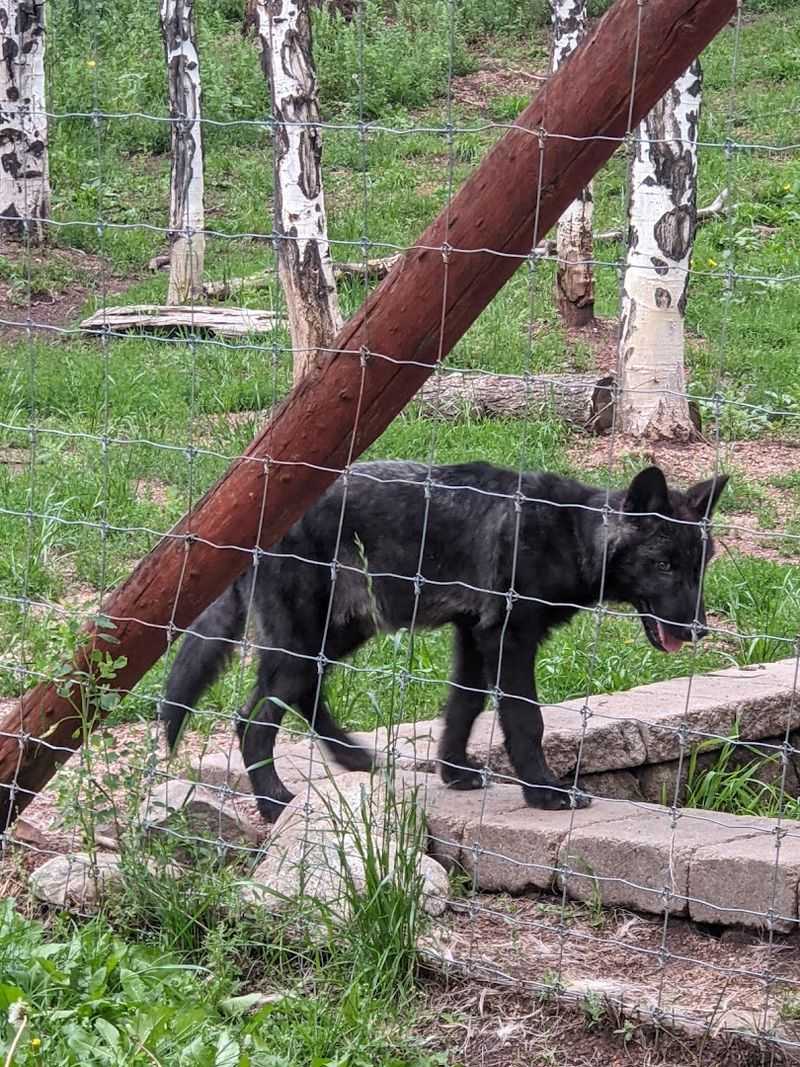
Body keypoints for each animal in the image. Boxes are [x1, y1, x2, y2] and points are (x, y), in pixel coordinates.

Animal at [160, 460, 727, 821]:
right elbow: (526, 721)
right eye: (663, 565)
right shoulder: (508, 640)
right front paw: (545, 793)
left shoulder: (473, 638)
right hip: (307, 641)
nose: (698, 630)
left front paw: (454, 774)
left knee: (277, 703)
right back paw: (275, 801)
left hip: (337, 635)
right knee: (256, 720)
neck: (572, 534)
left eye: (700, 566)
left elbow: (463, 708)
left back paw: (351, 759)